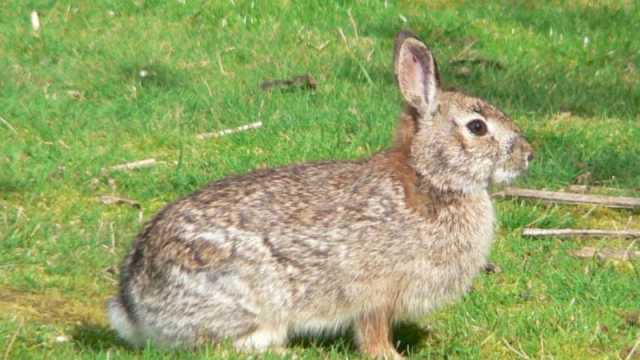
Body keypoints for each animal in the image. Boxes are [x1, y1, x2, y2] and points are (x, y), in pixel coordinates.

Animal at [107, 31, 532, 360]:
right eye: (477, 127)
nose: (528, 155)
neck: (430, 178)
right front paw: (391, 355)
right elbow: (372, 333)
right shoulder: (375, 294)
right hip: (246, 292)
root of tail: (132, 304)